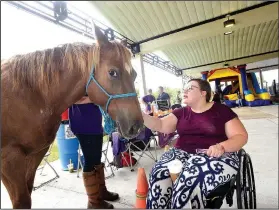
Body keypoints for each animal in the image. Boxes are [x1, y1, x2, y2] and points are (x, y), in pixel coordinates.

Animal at [0, 26, 144, 208]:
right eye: (112, 72)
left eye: (134, 75)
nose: (137, 126)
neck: (31, 94)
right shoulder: (9, 161)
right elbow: (22, 201)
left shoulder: (35, 155)